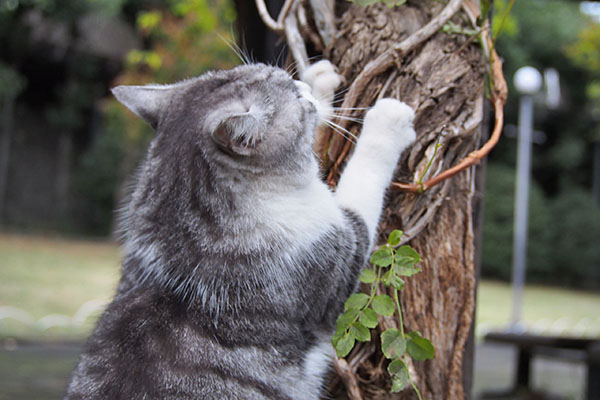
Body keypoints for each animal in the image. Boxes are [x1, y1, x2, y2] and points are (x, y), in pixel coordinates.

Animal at [64, 60, 412, 400]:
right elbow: (362, 181)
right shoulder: (337, 258)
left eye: (289, 80)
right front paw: (387, 121)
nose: (302, 86)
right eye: (295, 97)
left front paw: (319, 79)